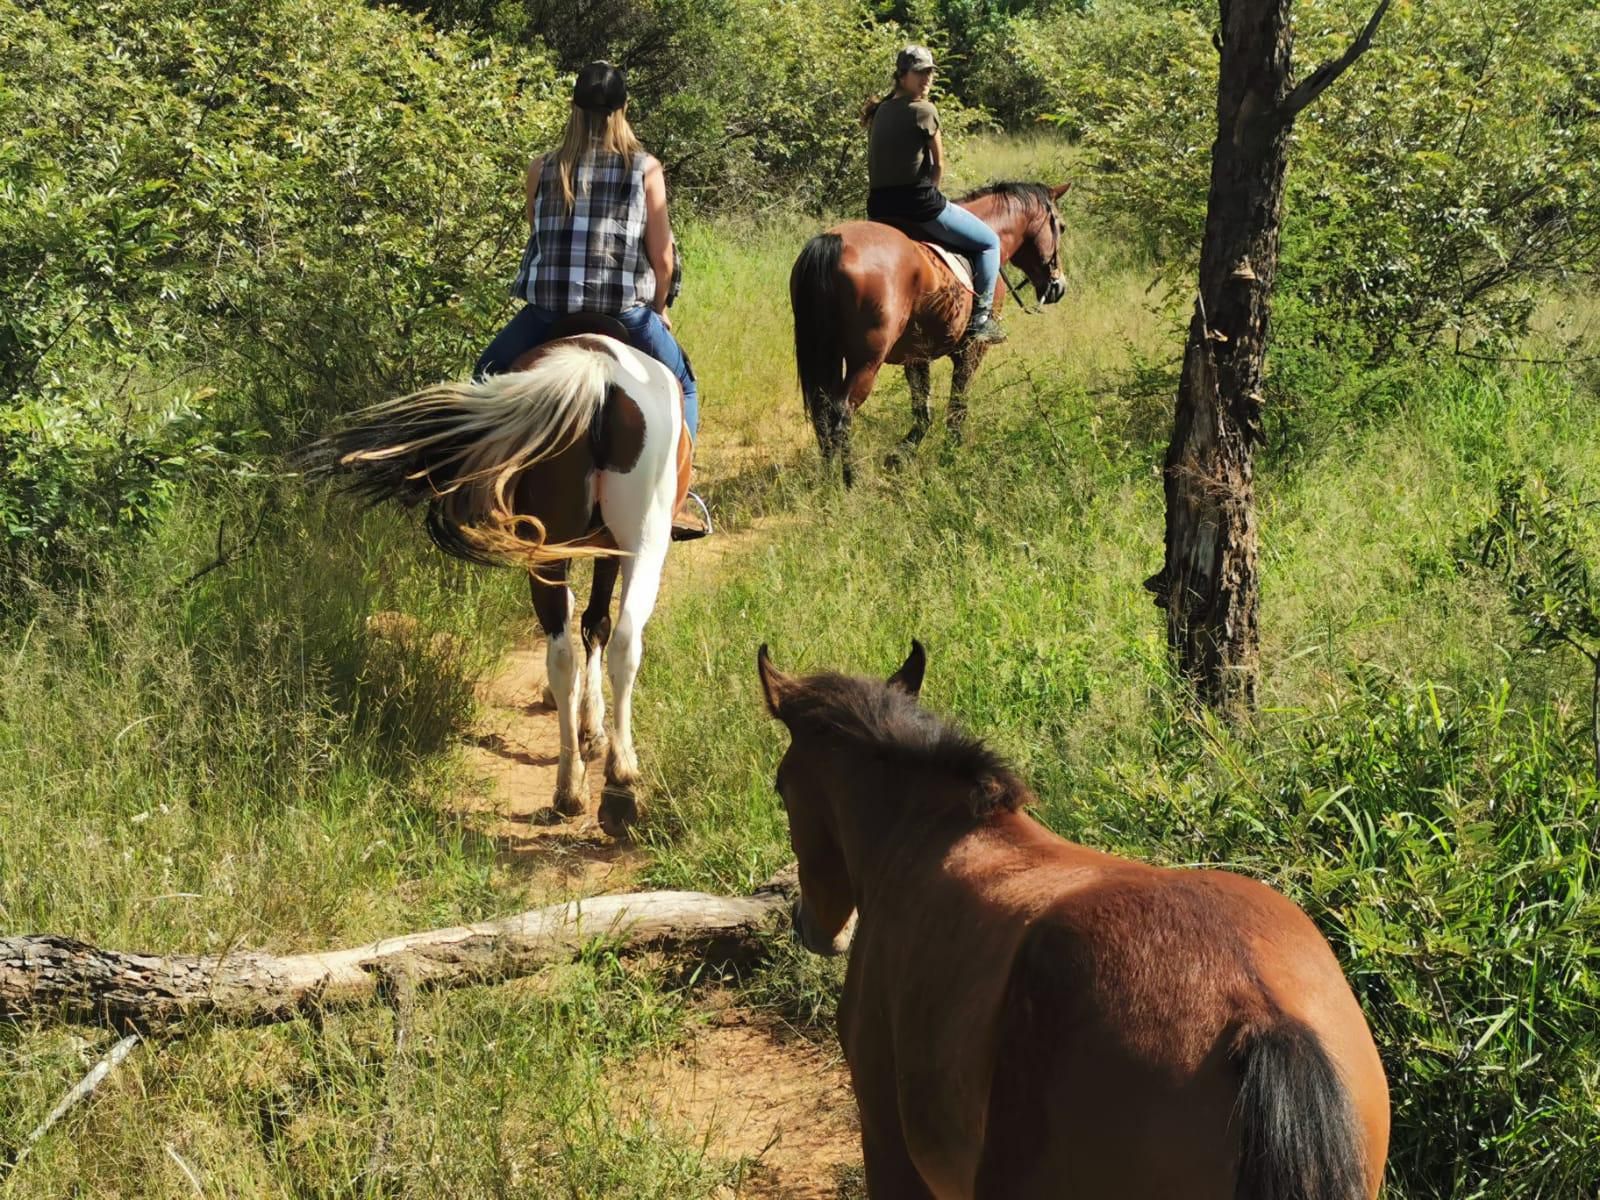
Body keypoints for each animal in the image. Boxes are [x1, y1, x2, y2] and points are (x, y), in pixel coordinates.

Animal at [310, 324, 688, 838]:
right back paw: (619, 783)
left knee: (562, 654)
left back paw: (570, 788)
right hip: (643, 541)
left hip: (549, 548)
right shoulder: (605, 549)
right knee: (624, 642)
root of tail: (594, 368)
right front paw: (593, 729)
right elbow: (596, 624)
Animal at [790, 183, 1068, 483]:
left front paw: (899, 456)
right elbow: (957, 407)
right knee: (841, 413)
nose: (1058, 286)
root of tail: (833, 242)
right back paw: (851, 480)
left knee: (822, 410)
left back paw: (828, 477)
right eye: (1061, 227)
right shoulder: (971, 351)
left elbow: (922, 410)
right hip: (866, 361)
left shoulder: (916, 355)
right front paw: (951, 454)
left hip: (826, 353)